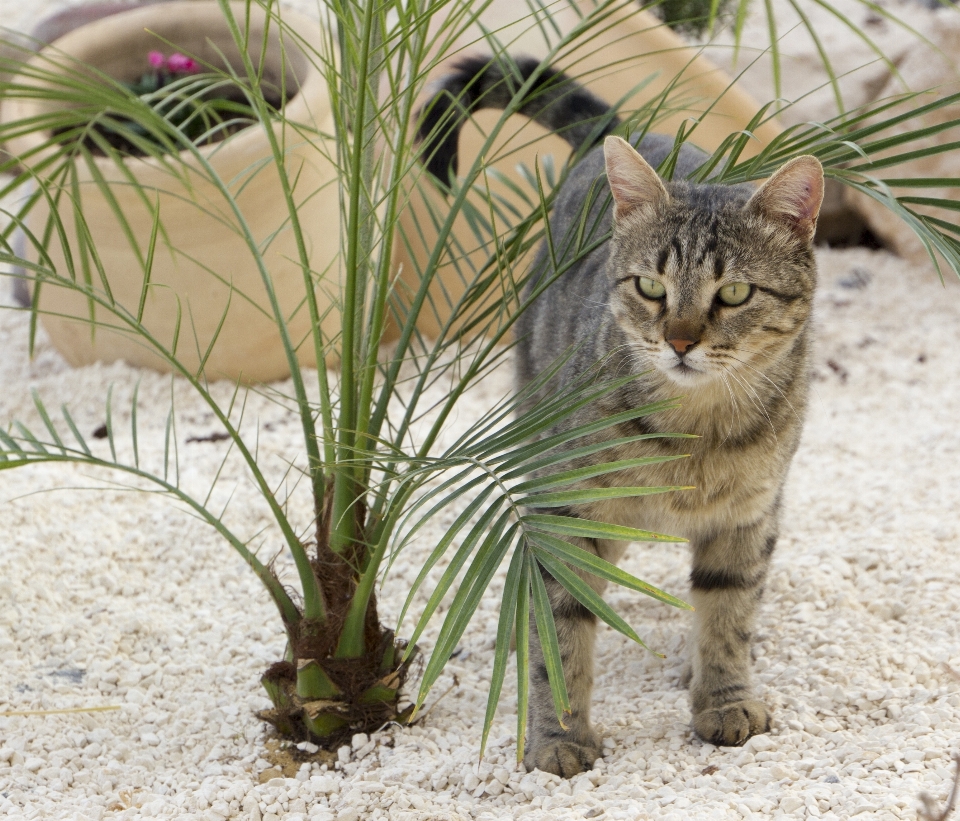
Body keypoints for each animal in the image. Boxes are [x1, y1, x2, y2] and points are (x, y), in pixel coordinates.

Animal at [420, 56, 824, 776]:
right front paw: (559, 735)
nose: (681, 341)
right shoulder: (563, 515)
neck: (694, 433)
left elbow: (729, 613)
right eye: (651, 286)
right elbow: (560, 635)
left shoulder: (750, 515)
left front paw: (724, 695)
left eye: (735, 292)